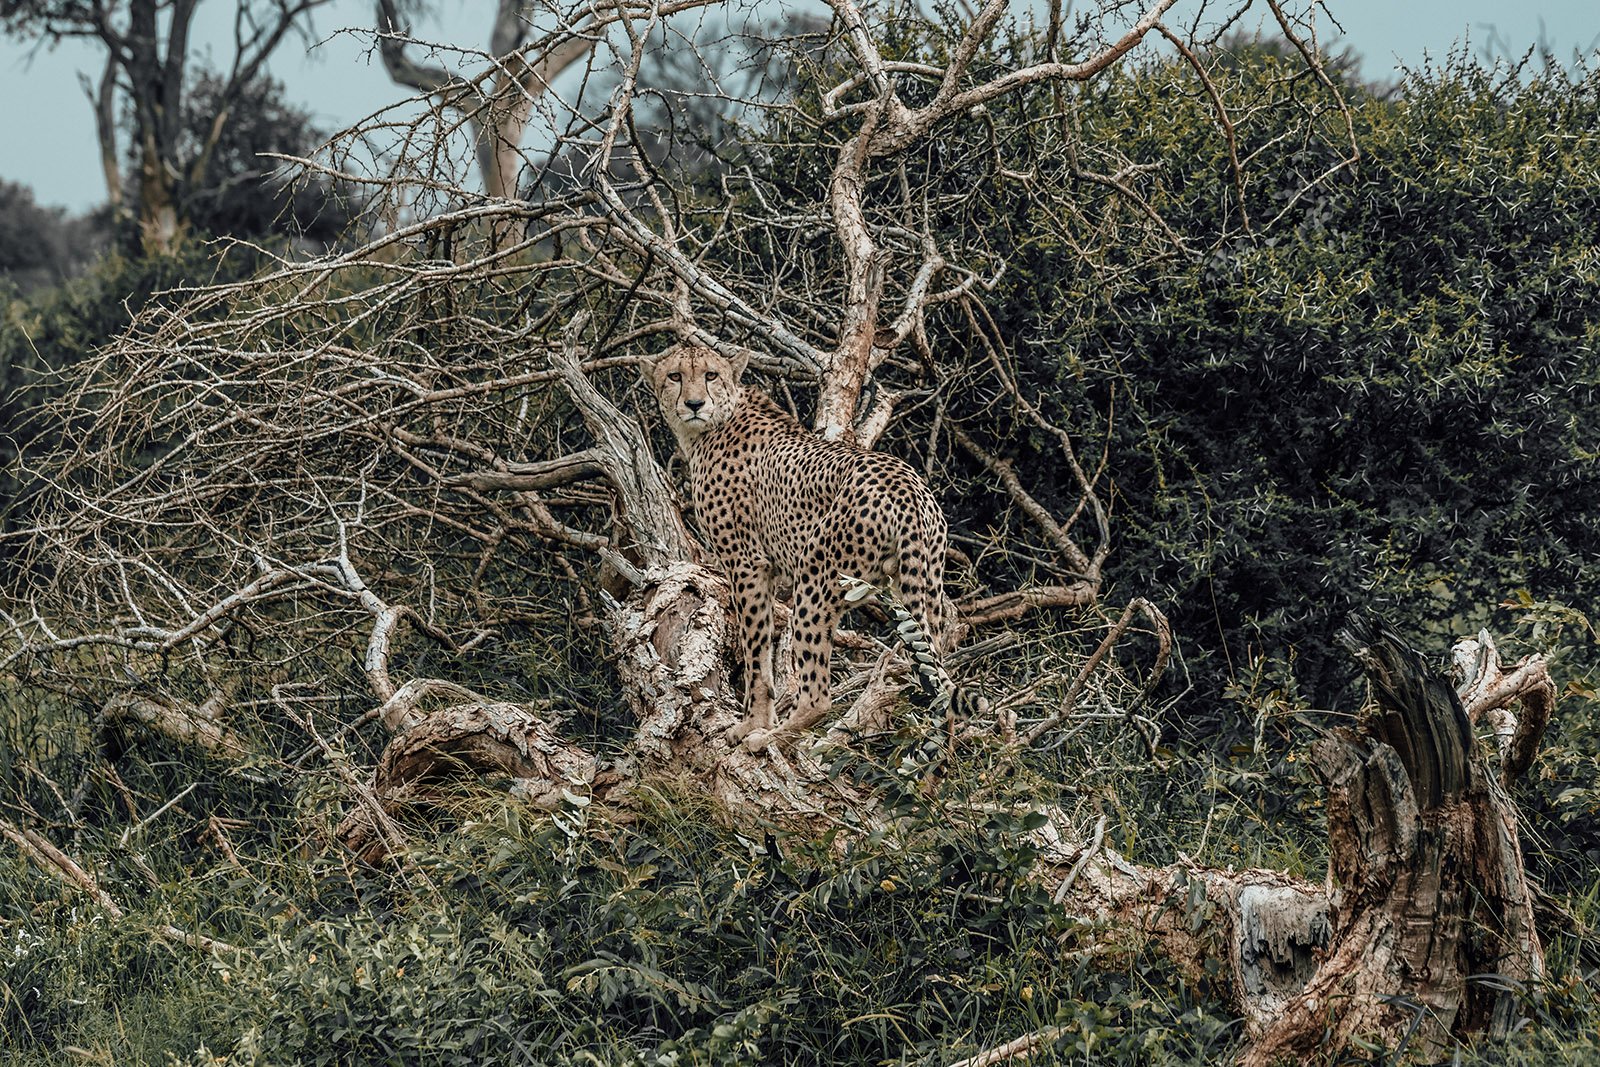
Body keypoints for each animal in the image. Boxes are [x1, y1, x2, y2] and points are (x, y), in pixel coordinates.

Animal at [647, 343, 950, 751]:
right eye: (675, 376)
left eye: (711, 375)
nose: (695, 404)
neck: (712, 425)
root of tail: (906, 485)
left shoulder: (747, 563)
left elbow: (756, 649)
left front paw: (751, 723)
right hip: (921, 587)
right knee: (942, 673)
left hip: (817, 574)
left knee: (819, 694)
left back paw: (772, 737)